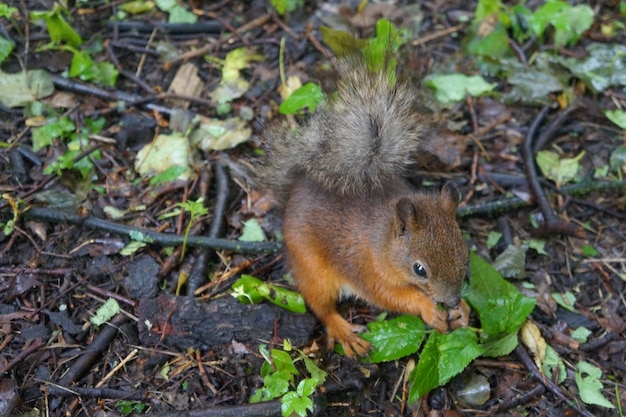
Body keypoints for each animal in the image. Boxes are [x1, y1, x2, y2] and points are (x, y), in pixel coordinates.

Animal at [255, 55, 468, 356]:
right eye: (419, 269)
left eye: (465, 253)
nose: (451, 301)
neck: (382, 242)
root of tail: (296, 188)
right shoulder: (368, 271)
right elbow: (389, 296)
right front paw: (428, 308)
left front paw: (464, 310)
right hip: (313, 268)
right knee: (320, 305)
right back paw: (343, 332)